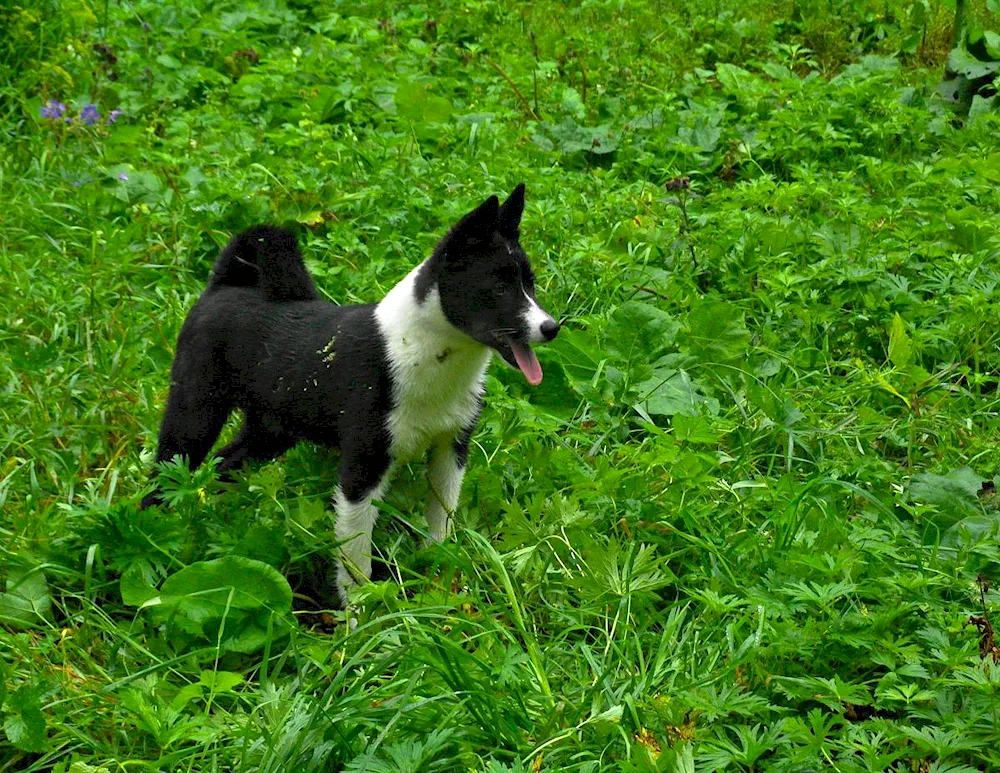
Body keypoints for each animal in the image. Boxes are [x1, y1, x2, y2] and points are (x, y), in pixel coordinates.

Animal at [141, 185, 560, 604]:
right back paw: (153, 534)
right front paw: (362, 614)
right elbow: (356, 561)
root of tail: (223, 287)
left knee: (225, 464)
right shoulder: (363, 469)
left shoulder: (450, 449)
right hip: (194, 415)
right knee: (165, 474)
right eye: (500, 288)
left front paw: (441, 578)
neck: (423, 353)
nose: (552, 327)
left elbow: (440, 522)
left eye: (531, 285)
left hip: (270, 432)